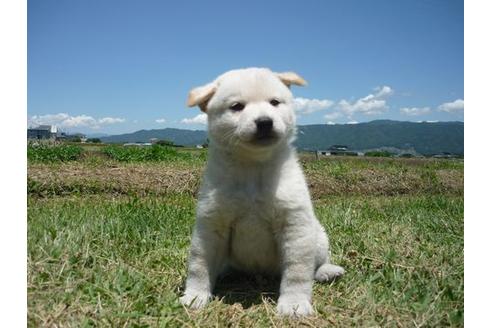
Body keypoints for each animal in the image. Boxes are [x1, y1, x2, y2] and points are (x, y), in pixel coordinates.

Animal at [179, 68, 344, 316]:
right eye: (237, 106)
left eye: (274, 102)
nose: (265, 122)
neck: (253, 168)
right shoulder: (212, 223)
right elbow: (199, 265)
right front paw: (195, 295)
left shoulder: (294, 224)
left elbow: (297, 271)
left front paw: (294, 303)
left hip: (318, 237)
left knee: (317, 263)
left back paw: (327, 271)